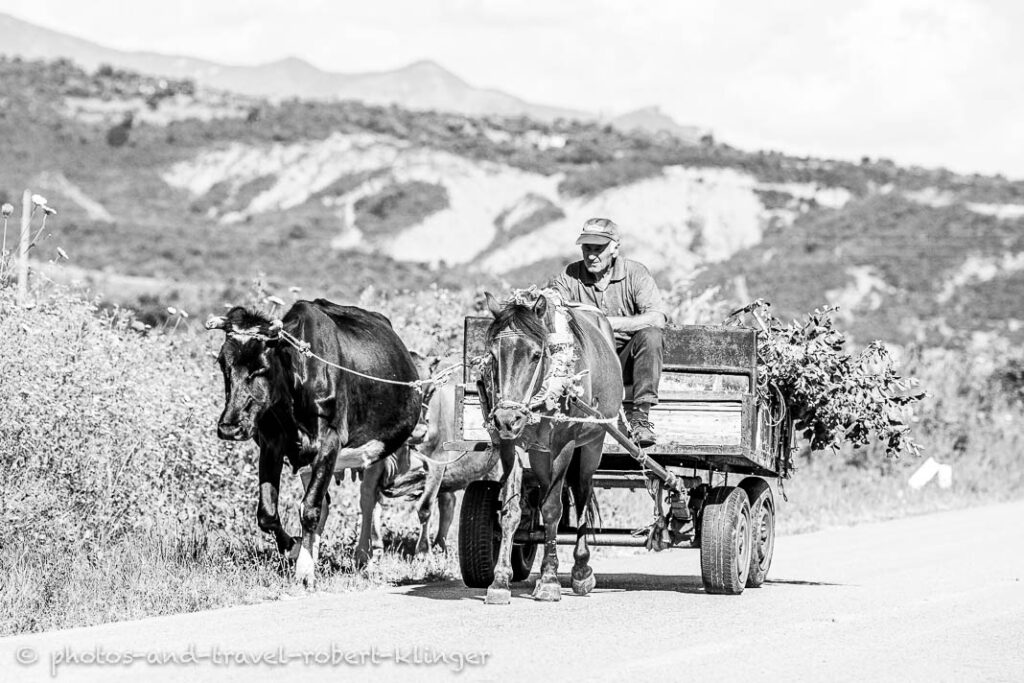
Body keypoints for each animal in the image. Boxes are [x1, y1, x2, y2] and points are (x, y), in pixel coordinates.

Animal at [477, 288, 618, 602]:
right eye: (492, 355)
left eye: (536, 354)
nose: (506, 419)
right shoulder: (512, 446)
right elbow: (511, 511)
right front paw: (500, 581)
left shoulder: (564, 445)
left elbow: (553, 509)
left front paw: (550, 580)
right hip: (540, 453)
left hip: (592, 445)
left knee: (582, 492)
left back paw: (581, 570)